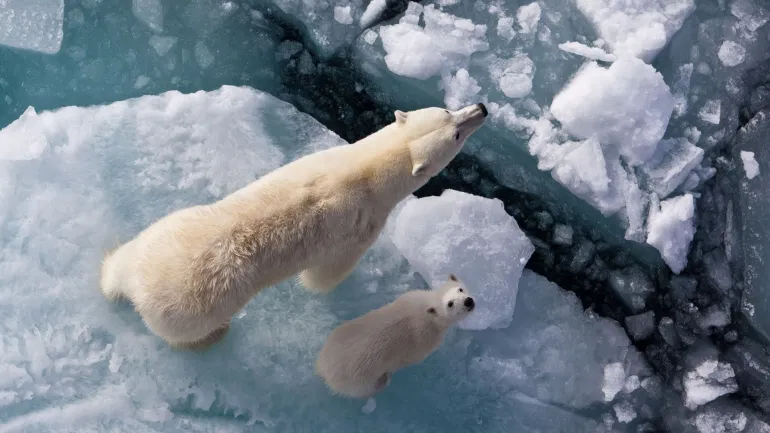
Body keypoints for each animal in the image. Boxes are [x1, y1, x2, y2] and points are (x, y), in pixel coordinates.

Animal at [97, 103, 486, 350]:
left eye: (447, 112)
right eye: (455, 131)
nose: (481, 108)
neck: (365, 170)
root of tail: (138, 285)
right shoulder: (361, 225)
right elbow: (327, 274)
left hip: (164, 230)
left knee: (122, 259)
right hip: (192, 308)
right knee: (186, 332)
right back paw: (214, 335)